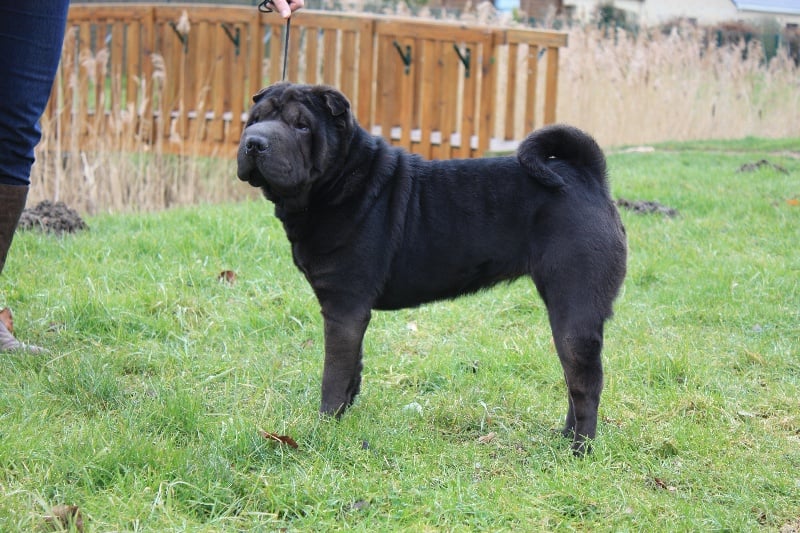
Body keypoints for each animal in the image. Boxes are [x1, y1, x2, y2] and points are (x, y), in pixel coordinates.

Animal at [238, 83, 624, 454]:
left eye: (301, 126)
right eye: (254, 119)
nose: (254, 142)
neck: (342, 180)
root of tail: (588, 176)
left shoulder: (343, 307)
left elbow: (333, 374)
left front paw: (325, 425)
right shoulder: (350, 313)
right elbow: (352, 369)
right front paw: (344, 415)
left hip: (574, 309)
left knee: (585, 383)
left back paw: (579, 449)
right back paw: (565, 438)